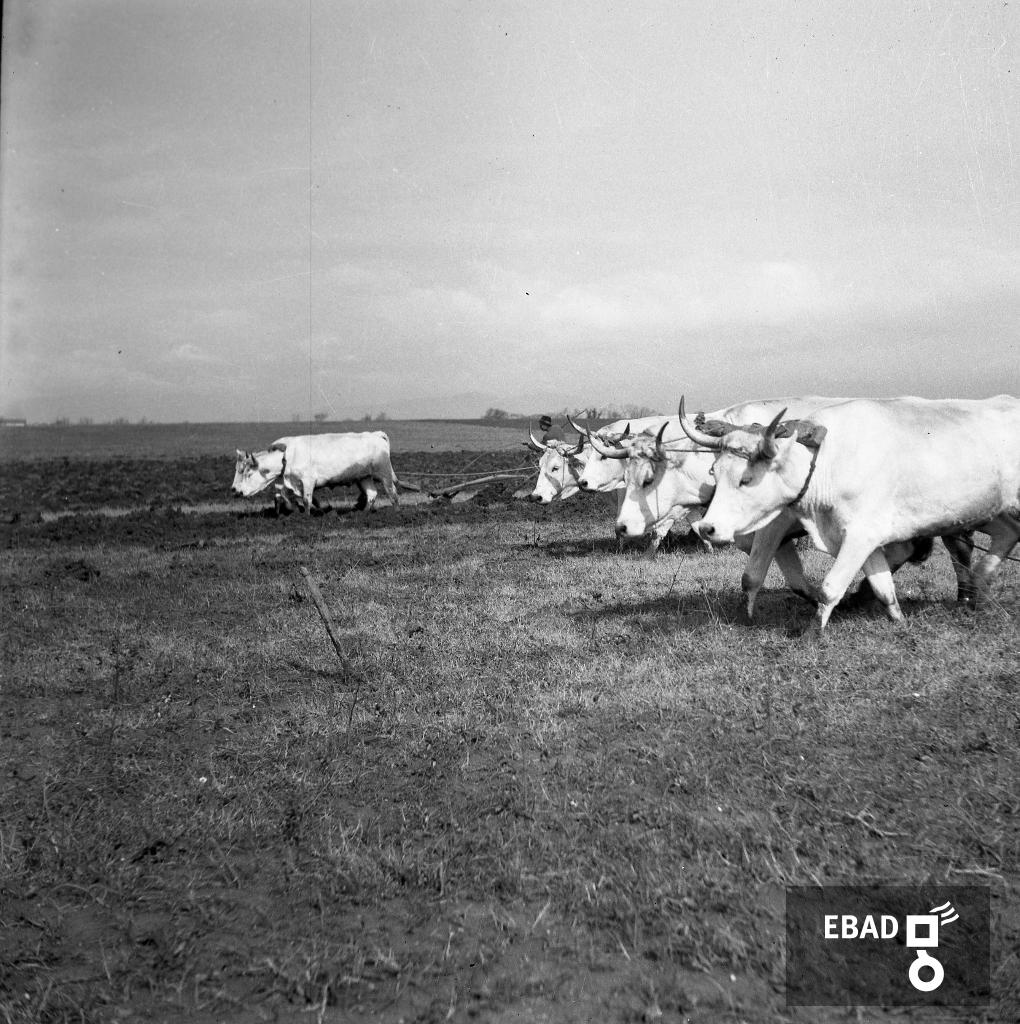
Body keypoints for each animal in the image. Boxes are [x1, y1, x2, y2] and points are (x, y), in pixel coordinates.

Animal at [681, 395, 1020, 630]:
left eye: (746, 479)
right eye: (714, 471)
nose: (707, 528)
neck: (829, 460)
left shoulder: (861, 534)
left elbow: (830, 587)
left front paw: (813, 633)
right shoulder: (860, 538)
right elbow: (883, 585)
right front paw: (898, 620)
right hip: (987, 513)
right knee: (1006, 535)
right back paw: (978, 589)